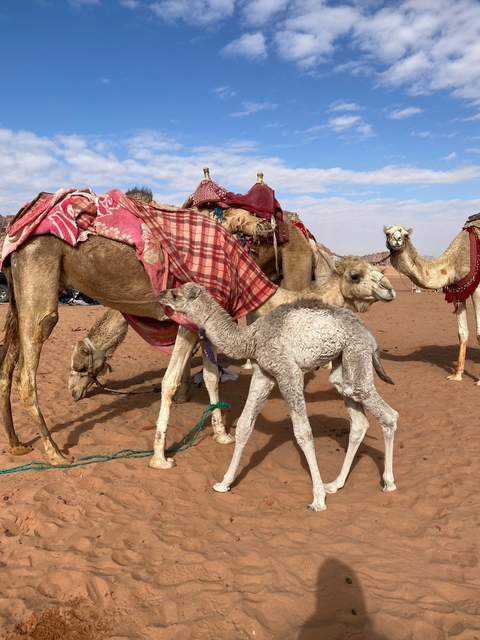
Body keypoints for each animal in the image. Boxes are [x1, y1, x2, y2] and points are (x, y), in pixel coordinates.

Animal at [157, 283, 399, 511]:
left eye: (176, 294)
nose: (161, 294)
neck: (251, 339)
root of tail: (371, 338)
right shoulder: (264, 373)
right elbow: (244, 425)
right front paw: (224, 483)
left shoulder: (287, 372)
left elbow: (303, 432)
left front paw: (318, 500)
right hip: (342, 365)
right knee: (357, 419)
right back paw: (335, 484)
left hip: (357, 353)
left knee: (388, 414)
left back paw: (388, 483)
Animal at [384, 224, 480, 383]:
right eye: (387, 233)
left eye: (406, 235)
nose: (396, 239)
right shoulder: (458, 291)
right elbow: (462, 333)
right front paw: (456, 375)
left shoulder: (478, 288)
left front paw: (478, 381)